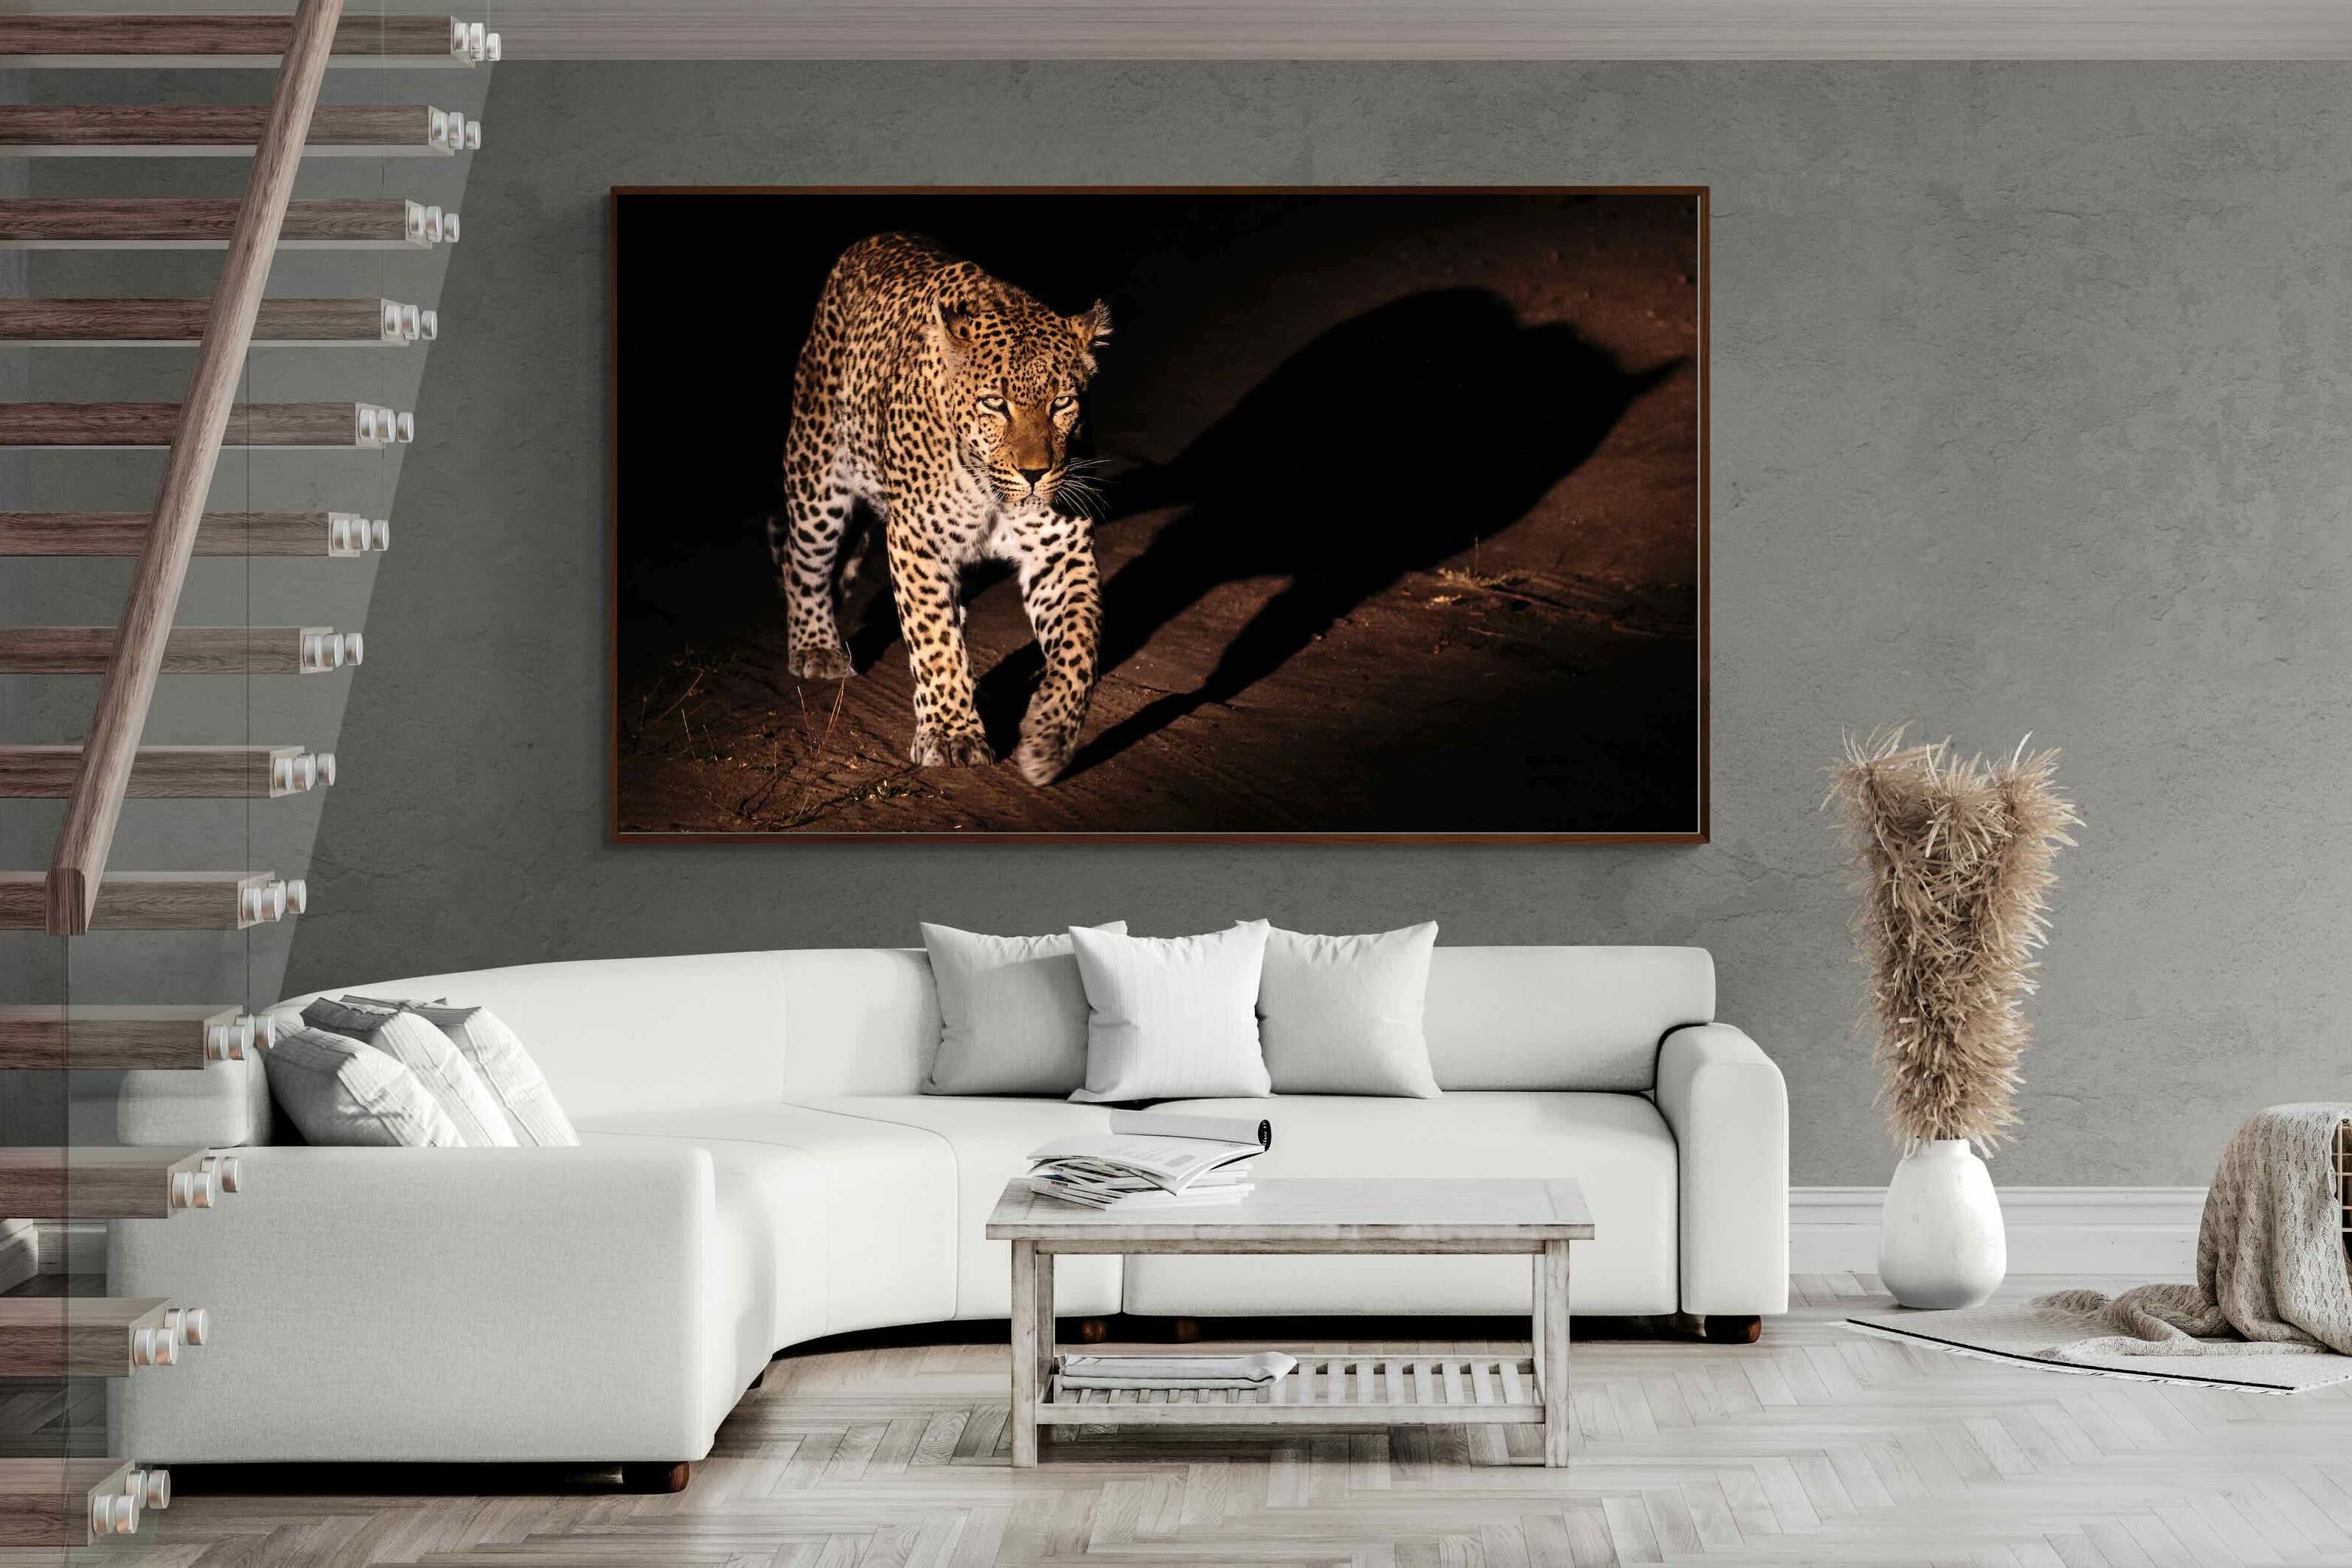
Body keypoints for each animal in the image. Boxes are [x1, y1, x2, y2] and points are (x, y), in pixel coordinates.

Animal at [771, 232, 1112, 787]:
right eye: (994, 403)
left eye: (1063, 403)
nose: (1035, 473)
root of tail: (872, 240)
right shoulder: (918, 542)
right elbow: (932, 639)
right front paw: (952, 734)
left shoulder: (1060, 551)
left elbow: (1079, 648)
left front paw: (1048, 738)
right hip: (817, 476)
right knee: (801, 562)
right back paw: (815, 647)